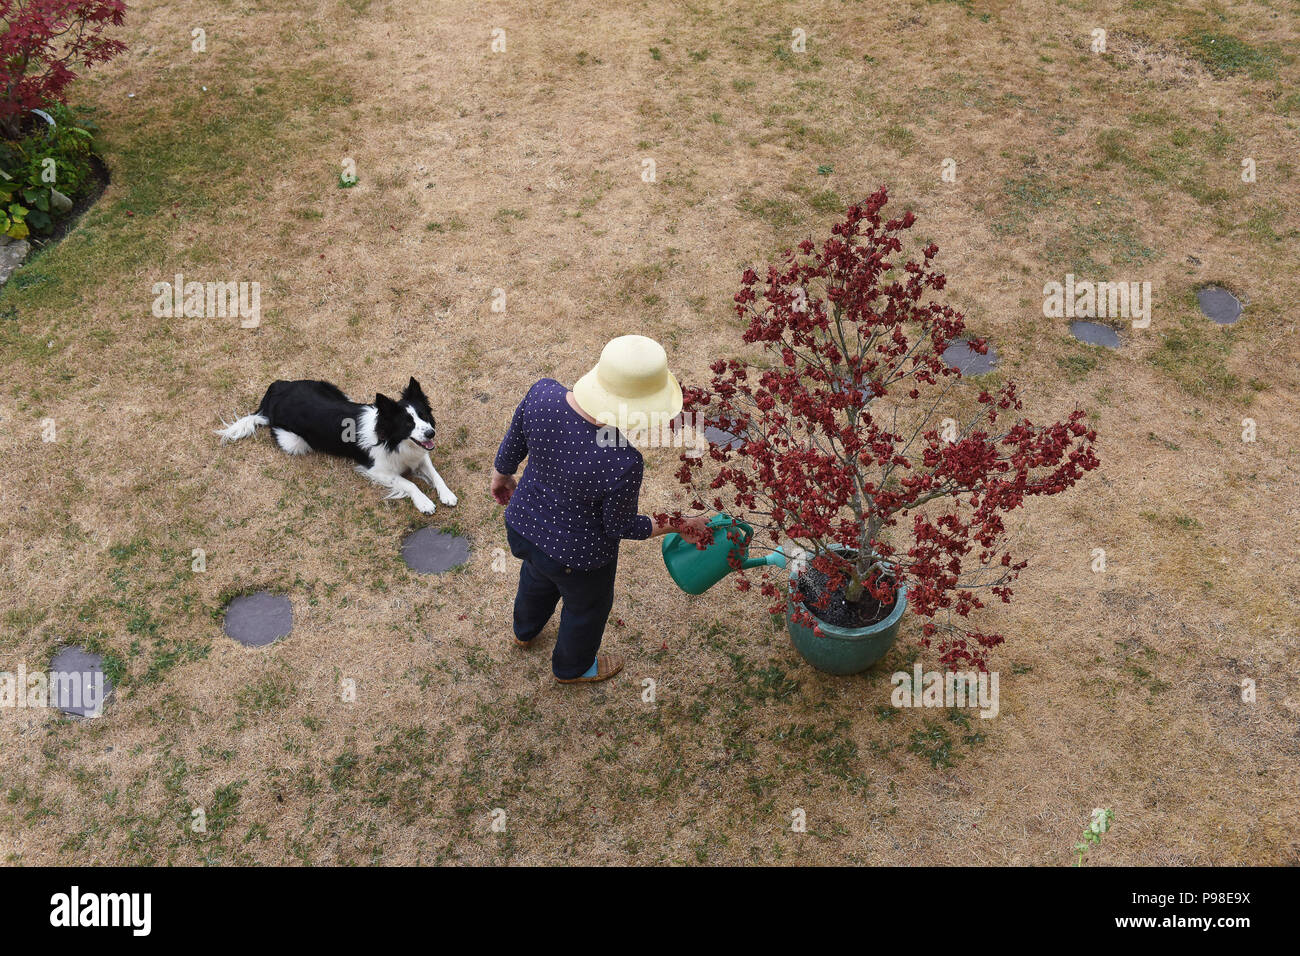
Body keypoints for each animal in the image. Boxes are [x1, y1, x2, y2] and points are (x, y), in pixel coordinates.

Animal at [213, 374, 457, 515]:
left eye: (424, 415)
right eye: (408, 424)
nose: (431, 432)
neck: (392, 440)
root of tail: (275, 392)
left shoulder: (419, 454)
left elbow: (436, 474)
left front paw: (447, 494)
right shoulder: (376, 470)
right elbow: (409, 484)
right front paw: (424, 503)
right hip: (294, 442)